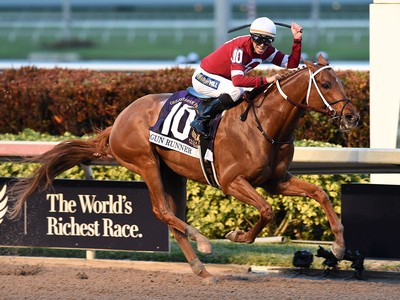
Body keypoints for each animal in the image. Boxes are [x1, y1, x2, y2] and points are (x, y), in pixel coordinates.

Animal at [9, 55, 360, 282]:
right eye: (326, 83)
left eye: (341, 80)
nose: (352, 116)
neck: (264, 125)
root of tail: (119, 120)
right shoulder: (232, 181)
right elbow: (266, 211)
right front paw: (236, 234)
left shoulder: (276, 180)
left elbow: (320, 194)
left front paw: (339, 246)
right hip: (146, 162)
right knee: (161, 211)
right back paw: (202, 241)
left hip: (170, 172)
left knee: (171, 219)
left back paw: (201, 269)